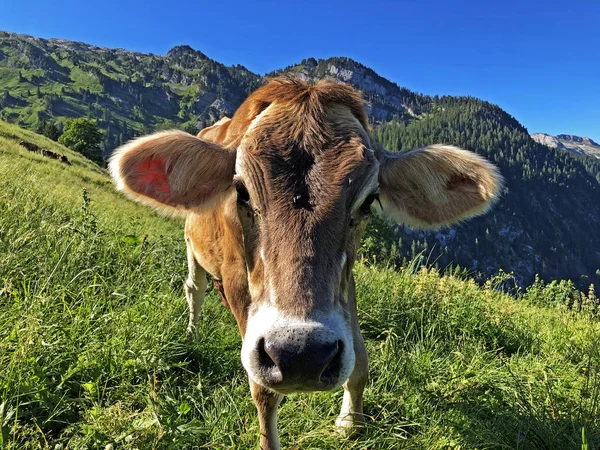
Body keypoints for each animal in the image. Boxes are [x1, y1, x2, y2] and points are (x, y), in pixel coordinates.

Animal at [109, 77, 502, 450]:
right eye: (241, 191)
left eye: (368, 200)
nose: (302, 354)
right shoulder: (238, 283)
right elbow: (263, 390)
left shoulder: (346, 283)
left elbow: (359, 356)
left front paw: (351, 422)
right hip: (193, 246)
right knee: (195, 288)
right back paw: (192, 332)